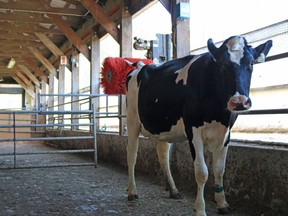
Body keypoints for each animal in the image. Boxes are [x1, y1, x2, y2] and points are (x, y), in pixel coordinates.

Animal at [124, 35, 272, 216]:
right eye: (222, 64)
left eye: (251, 63)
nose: (239, 102)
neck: (218, 114)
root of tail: (140, 66)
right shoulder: (193, 132)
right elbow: (202, 172)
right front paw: (200, 209)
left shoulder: (226, 134)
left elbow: (220, 170)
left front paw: (222, 204)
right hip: (132, 120)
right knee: (132, 154)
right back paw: (132, 192)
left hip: (164, 127)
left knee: (163, 154)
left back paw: (173, 190)